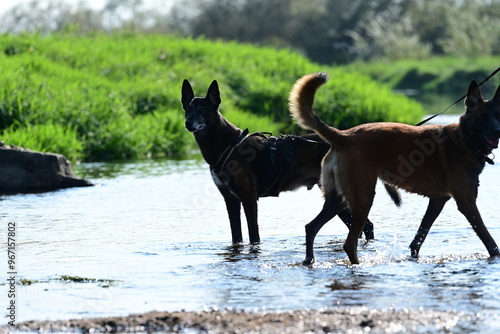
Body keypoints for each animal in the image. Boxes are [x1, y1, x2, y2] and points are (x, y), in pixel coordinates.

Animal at [182, 79, 376, 244]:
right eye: (187, 109)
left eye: (202, 110)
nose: (188, 123)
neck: (227, 145)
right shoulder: (231, 201)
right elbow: (236, 236)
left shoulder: (248, 199)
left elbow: (254, 236)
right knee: (363, 226)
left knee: (367, 225)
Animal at [290, 72, 500, 264]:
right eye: (483, 117)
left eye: (498, 116)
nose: (498, 131)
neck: (465, 140)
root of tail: (343, 136)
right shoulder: (467, 203)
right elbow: (489, 241)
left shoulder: (437, 200)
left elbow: (420, 236)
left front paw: (414, 256)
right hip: (363, 200)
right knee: (349, 244)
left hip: (339, 200)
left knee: (311, 227)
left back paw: (309, 260)